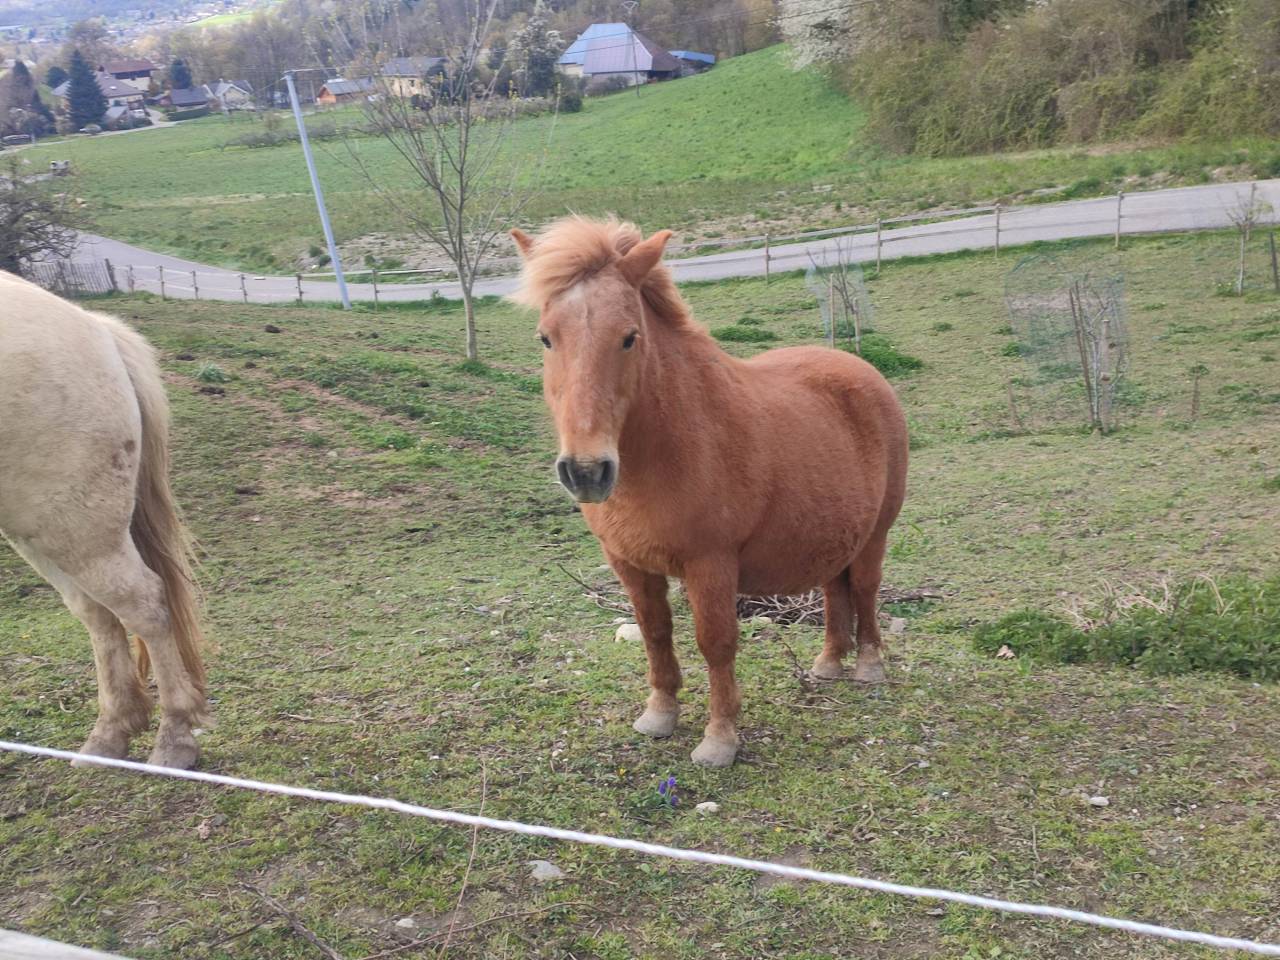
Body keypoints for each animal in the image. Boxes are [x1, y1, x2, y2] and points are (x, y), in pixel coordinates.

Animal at [0, 272, 207, 769]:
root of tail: (95, 327)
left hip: (72, 522)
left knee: (141, 605)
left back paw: (173, 739)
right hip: (41, 525)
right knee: (97, 611)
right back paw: (110, 735)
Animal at [511, 217, 909, 768]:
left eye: (629, 338)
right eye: (545, 338)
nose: (586, 471)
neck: (672, 443)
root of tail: (862, 370)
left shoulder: (711, 565)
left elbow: (716, 643)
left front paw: (720, 739)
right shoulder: (629, 564)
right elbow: (655, 634)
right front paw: (659, 715)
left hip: (876, 534)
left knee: (866, 589)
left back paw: (869, 666)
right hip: (834, 531)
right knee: (835, 590)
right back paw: (829, 663)